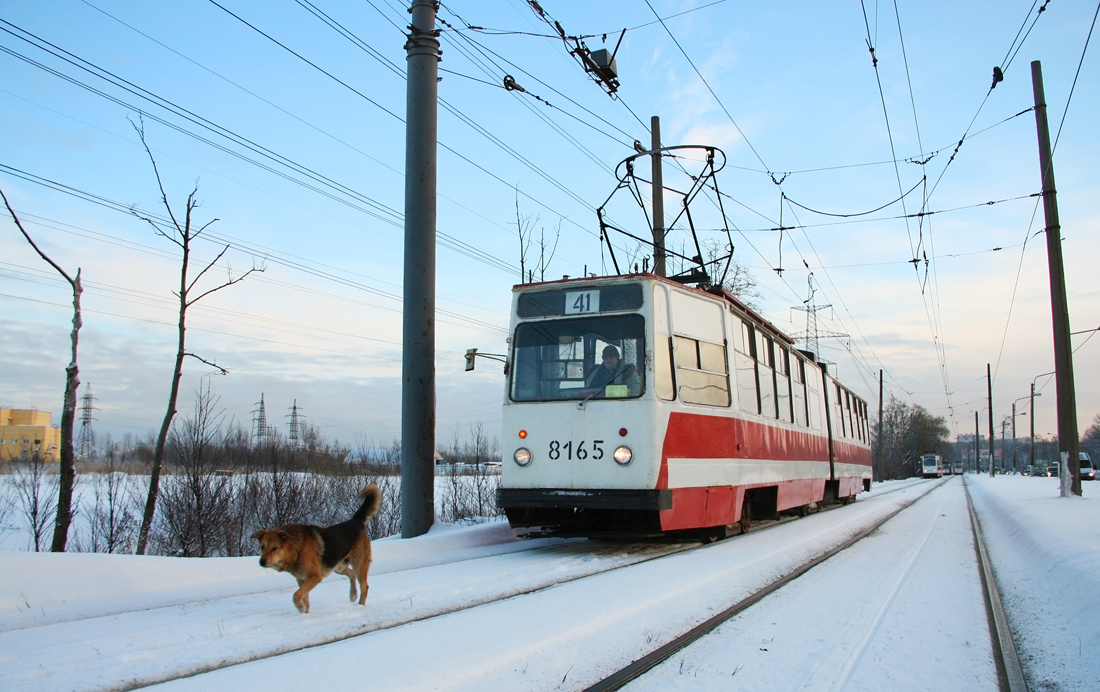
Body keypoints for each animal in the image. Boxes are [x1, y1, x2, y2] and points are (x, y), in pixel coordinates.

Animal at [251, 484, 380, 611]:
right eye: (262, 547)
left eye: (274, 548)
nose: (262, 562)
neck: (296, 549)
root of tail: (355, 521)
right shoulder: (302, 580)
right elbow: (304, 598)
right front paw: (305, 612)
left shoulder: (315, 576)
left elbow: (296, 595)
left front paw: (300, 608)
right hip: (338, 566)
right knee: (351, 574)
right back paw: (353, 594)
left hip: (359, 564)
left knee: (364, 586)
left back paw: (361, 605)